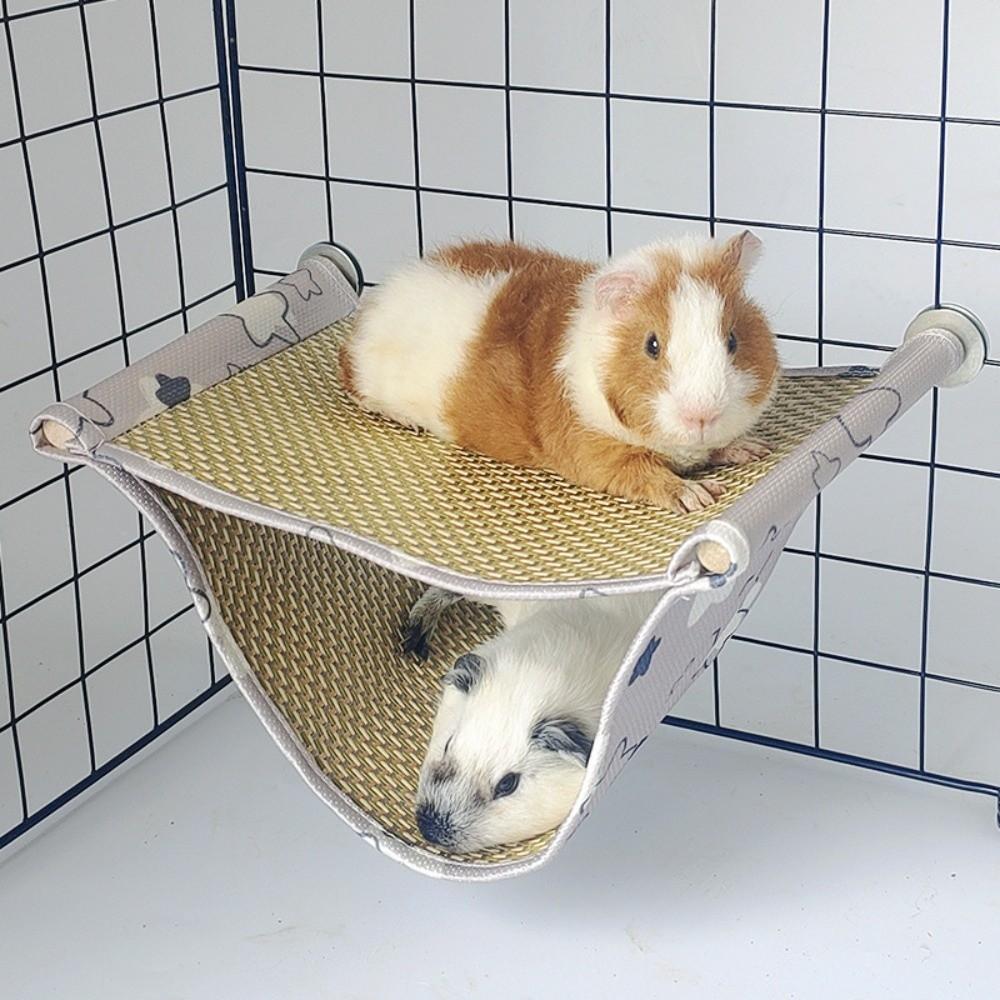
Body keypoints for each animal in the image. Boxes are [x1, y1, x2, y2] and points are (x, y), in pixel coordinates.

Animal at [339, 232, 779, 513]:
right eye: (652, 344)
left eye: (733, 340)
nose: (702, 415)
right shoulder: (593, 452)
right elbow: (643, 473)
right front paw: (699, 496)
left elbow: (719, 446)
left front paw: (753, 449)